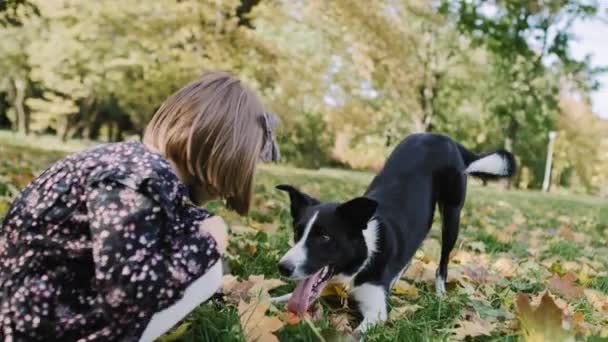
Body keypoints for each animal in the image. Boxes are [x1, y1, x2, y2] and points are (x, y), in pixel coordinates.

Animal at [274, 132, 516, 332]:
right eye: (297, 232)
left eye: (324, 237)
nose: (283, 267)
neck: (362, 257)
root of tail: (443, 137)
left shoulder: (376, 313)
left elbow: (353, 334)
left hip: (452, 215)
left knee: (443, 262)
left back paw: (440, 294)